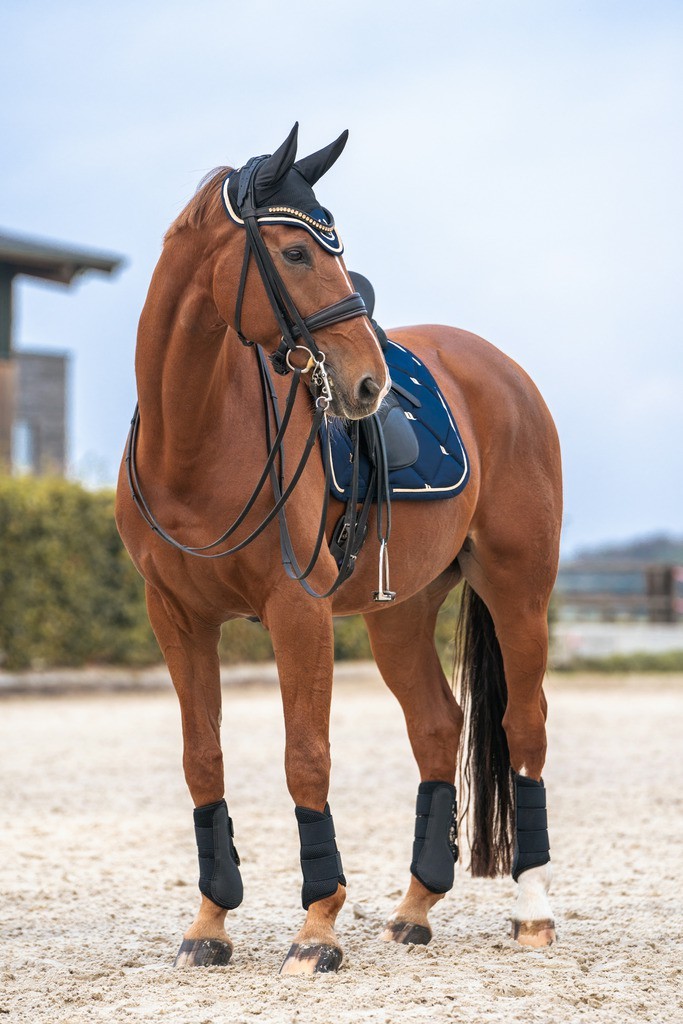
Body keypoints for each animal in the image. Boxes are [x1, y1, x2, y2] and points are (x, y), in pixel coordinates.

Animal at [115, 124, 562, 975]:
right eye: (294, 252)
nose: (367, 385)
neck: (195, 436)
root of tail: (504, 373)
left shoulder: (298, 608)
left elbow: (306, 755)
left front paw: (317, 926)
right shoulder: (175, 617)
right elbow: (202, 758)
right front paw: (210, 922)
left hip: (516, 592)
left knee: (522, 727)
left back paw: (532, 911)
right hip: (400, 613)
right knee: (437, 727)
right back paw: (415, 908)